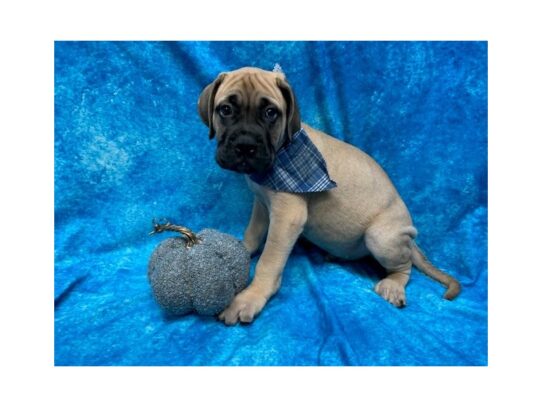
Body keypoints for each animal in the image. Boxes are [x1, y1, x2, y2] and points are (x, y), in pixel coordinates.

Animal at [198, 67, 462, 328]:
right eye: (225, 109)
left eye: (270, 113)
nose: (245, 145)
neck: (282, 154)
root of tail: (409, 237)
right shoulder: (262, 205)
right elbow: (252, 233)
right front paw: (239, 250)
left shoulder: (286, 218)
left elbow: (268, 261)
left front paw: (250, 297)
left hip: (380, 237)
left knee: (404, 267)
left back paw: (393, 285)